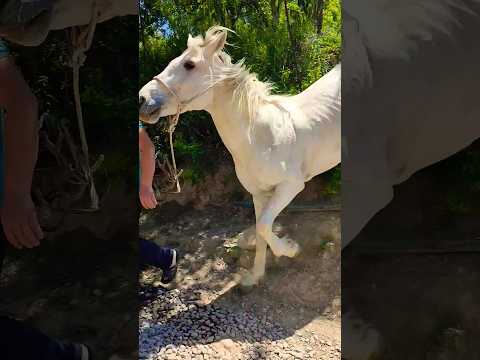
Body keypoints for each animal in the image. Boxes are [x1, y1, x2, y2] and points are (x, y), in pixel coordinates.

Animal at [139, 26, 342, 286]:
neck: (260, 136)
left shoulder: (291, 185)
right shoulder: (258, 193)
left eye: (189, 64)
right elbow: (261, 229)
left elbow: (264, 225)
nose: (143, 98)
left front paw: (290, 249)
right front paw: (255, 276)